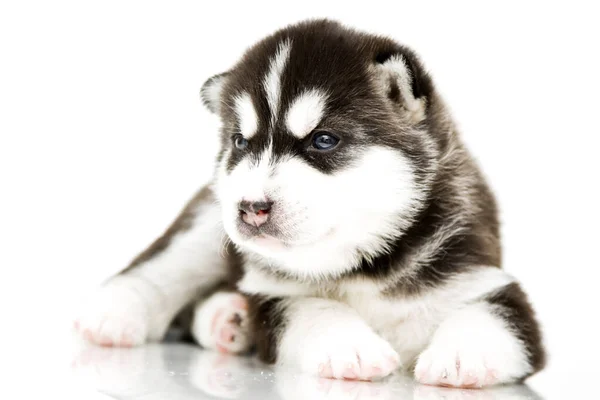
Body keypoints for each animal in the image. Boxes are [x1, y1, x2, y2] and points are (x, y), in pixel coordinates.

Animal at [74, 20, 544, 390]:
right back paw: (117, 316)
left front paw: (466, 354)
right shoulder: (273, 295)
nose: (251, 206)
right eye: (240, 142)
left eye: (323, 140)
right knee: (162, 269)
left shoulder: (479, 274)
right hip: (209, 226)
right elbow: (312, 309)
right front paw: (349, 347)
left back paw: (227, 319)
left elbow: (495, 316)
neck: (364, 266)